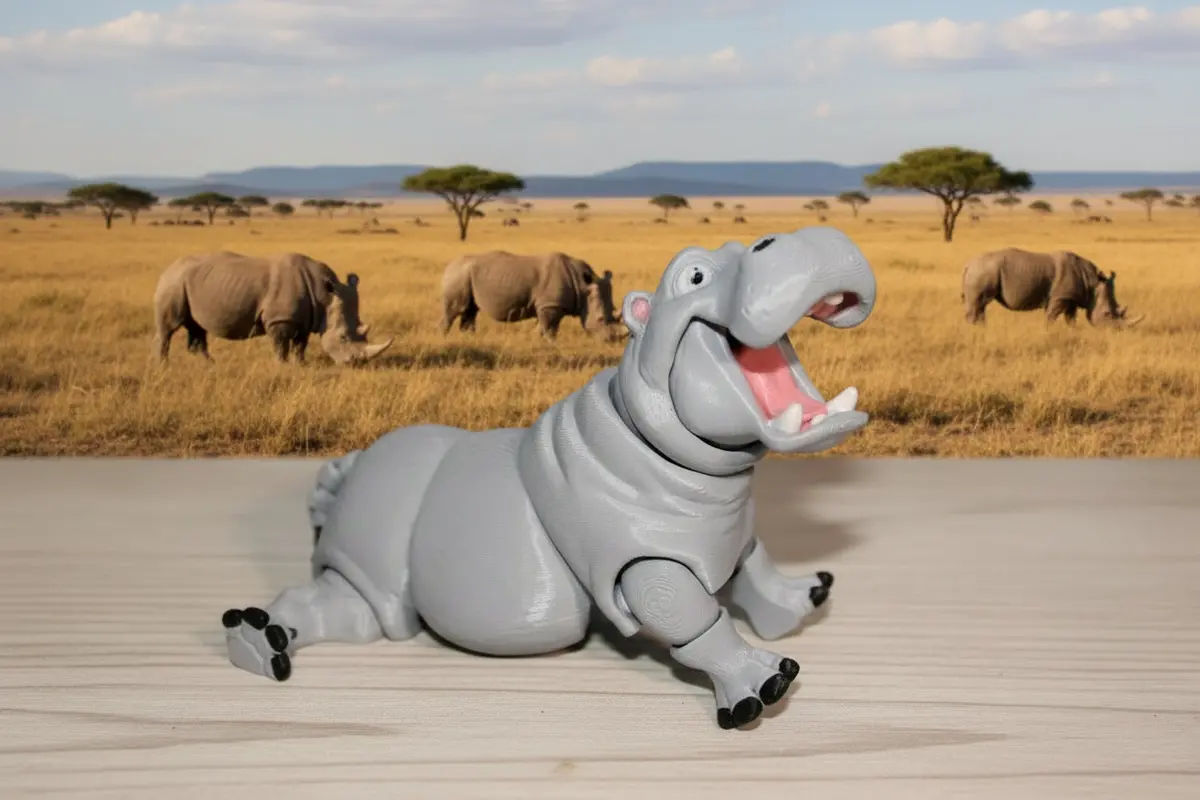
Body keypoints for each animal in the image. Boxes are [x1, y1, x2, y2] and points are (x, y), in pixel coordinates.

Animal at [153, 251, 394, 364]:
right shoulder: (280, 319)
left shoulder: (306, 319)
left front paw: (301, 364)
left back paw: (210, 365)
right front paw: (283, 366)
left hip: (190, 283)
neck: (325, 296)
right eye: (343, 337)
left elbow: (300, 344)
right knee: (169, 328)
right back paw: (164, 366)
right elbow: (281, 345)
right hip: (173, 283)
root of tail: (169, 267)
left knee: (197, 327)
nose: (356, 364)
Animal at [440, 250, 621, 340]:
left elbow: (544, 327)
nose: (610, 341)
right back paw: (445, 339)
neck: (582, 285)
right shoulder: (550, 305)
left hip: (466, 275)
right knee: (455, 310)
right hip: (458, 275)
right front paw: (549, 344)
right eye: (601, 319)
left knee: (470, 310)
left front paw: (536, 340)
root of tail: (450, 265)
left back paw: (469, 339)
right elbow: (549, 329)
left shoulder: (548, 306)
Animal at [962, 247, 1143, 327]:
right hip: (983, 272)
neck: (1092, 283)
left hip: (981, 272)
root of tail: (968, 265)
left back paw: (980, 329)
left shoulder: (1071, 298)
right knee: (978, 304)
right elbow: (1051, 317)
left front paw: (1072, 331)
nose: (1116, 331)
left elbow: (1071, 318)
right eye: (1107, 314)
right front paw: (1048, 331)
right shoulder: (1060, 297)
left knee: (980, 306)